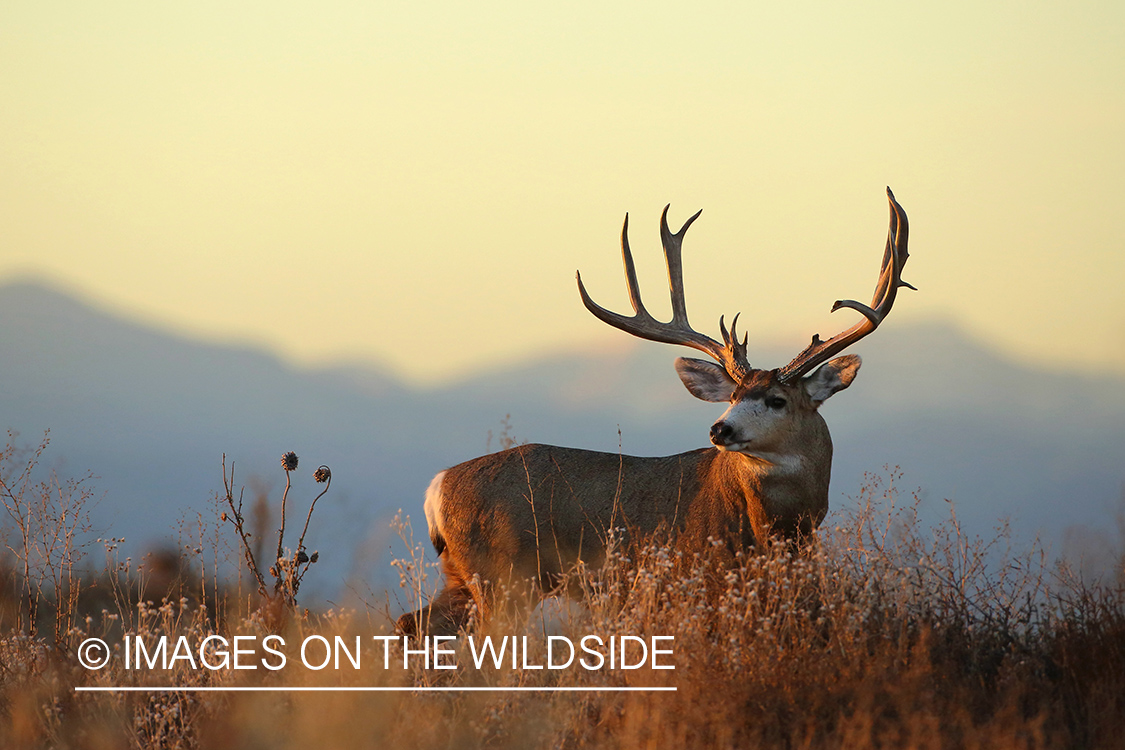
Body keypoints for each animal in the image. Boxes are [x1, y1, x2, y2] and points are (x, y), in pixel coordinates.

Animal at [397, 188, 912, 636]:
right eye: (732, 396)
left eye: (777, 400)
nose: (720, 429)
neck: (780, 527)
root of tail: (435, 488)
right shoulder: (697, 575)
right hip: (503, 576)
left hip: (464, 579)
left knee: (410, 623)